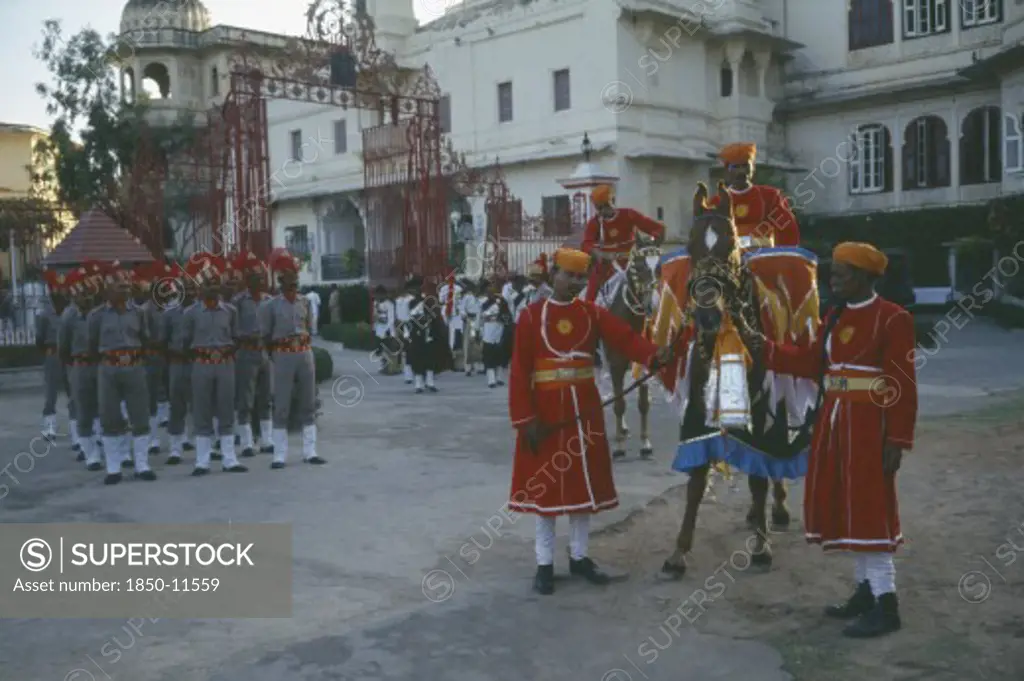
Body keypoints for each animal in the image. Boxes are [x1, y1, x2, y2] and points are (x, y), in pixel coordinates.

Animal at [598, 236, 663, 458]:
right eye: (639, 265)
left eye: (659, 266)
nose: (652, 304)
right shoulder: (616, 365)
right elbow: (619, 404)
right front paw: (619, 447)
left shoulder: (644, 364)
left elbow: (643, 404)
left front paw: (645, 443)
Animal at [651, 180, 819, 573]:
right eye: (691, 245)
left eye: (729, 245)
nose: (708, 313)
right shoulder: (697, 409)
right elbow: (697, 479)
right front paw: (679, 550)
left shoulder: (761, 410)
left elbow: (758, 475)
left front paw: (761, 544)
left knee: (774, 463)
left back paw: (775, 509)